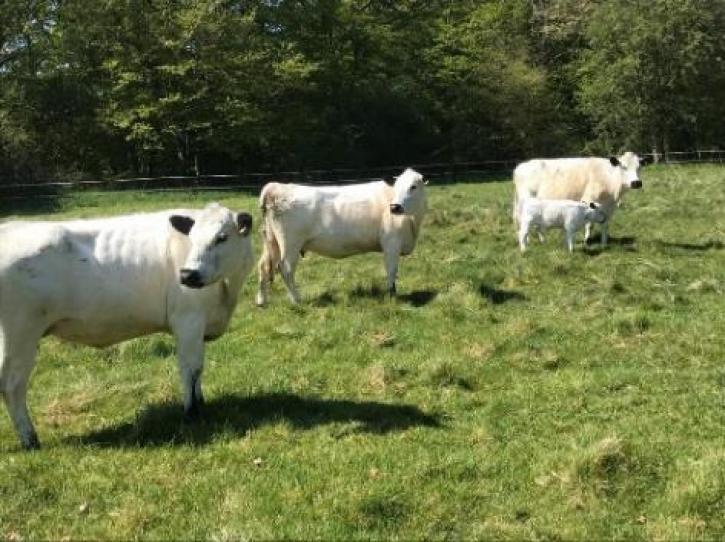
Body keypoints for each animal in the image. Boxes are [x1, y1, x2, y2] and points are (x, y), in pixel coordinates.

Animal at [0, 203, 254, 449]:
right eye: (192, 237)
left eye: (222, 237)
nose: (187, 274)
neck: (226, 291)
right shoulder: (188, 321)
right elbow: (191, 369)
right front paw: (192, 413)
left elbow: (199, 370)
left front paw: (201, 402)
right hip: (20, 333)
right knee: (12, 385)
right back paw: (30, 440)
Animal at [255, 168, 428, 306]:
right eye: (397, 186)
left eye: (413, 186)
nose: (395, 207)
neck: (413, 223)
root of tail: (276, 186)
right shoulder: (391, 242)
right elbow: (391, 270)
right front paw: (392, 295)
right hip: (290, 243)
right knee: (285, 268)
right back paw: (297, 299)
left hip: (271, 241)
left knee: (264, 266)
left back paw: (261, 301)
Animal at [512, 152, 644, 246]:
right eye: (624, 167)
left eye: (639, 167)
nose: (636, 182)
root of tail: (520, 167)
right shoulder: (589, 200)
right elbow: (589, 224)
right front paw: (587, 241)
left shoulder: (609, 208)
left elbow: (605, 225)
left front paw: (604, 243)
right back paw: (528, 240)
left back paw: (542, 241)